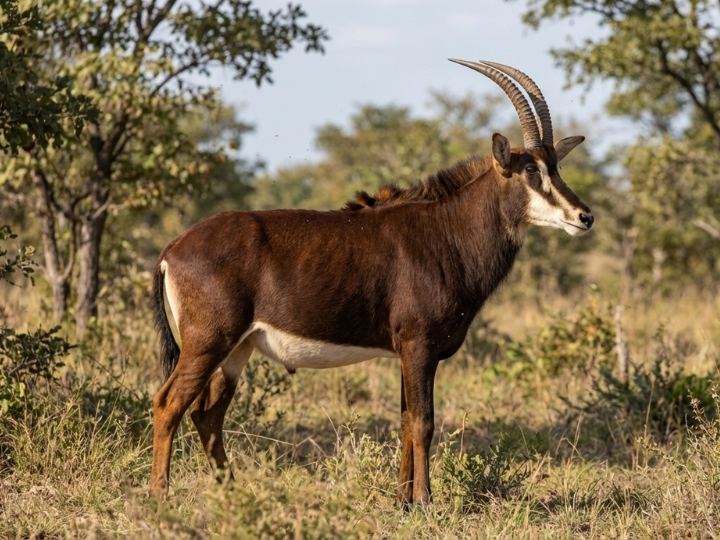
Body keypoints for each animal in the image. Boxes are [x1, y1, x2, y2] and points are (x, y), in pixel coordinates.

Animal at [150, 59, 594, 504]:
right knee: (168, 404)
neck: (447, 231)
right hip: (209, 342)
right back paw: (160, 497)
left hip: (236, 349)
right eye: (530, 170)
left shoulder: (409, 352)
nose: (584, 217)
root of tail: (171, 248)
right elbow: (423, 422)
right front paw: (425, 502)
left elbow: (405, 421)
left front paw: (402, 502)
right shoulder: (419, 345)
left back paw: (234, 494)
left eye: (556, 167)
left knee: (207, 414)